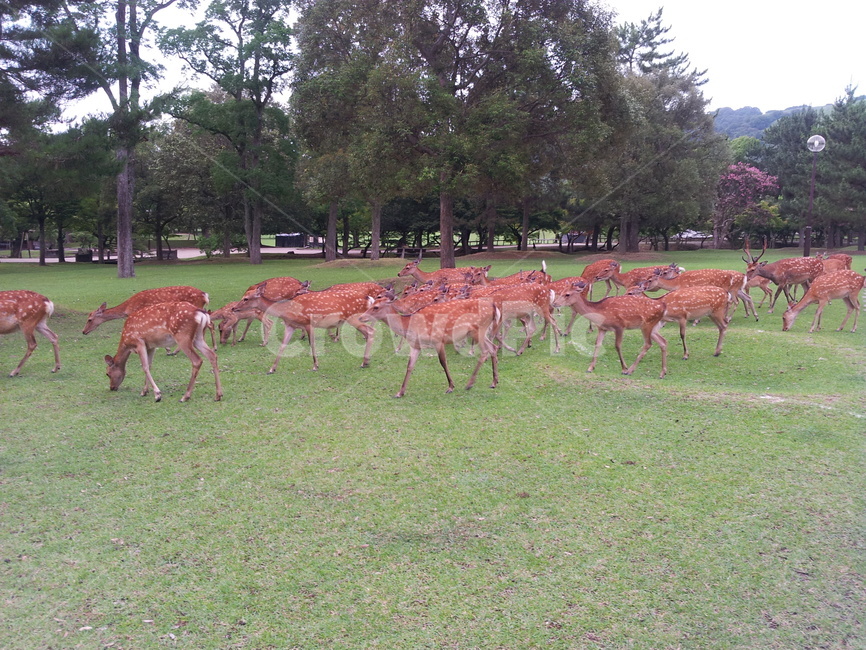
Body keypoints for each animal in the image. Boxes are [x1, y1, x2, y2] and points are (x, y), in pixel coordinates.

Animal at [233, 282, 380, 373]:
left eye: (246, 298)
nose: (234, 308)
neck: (286, 310)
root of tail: (369, 298)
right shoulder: (290, 325)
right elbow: (282, 345)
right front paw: (271, 369)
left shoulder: (308, 322)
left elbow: (312, 344)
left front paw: (315, 366)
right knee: (369, 332)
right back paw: (366, 361)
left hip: (354, 317)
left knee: (370, 331)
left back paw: (364, 362)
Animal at [358, 292, 501, 397]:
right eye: (372, 304)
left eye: (376, 307)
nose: (360, 317)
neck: (409, 324)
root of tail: (494, 306)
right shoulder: (415, 345)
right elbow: (409, 366)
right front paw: (400, 392)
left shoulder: (438, 340)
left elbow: (443, 362)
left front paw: (450, 386)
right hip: (480, 332)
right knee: (493, 348)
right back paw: (494, 382)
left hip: (479, 330)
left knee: (485, 351)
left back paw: (470, 384)